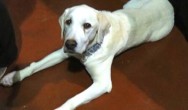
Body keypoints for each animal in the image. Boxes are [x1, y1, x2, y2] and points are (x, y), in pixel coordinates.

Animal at [0, 0, 174, 109]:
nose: (70, 44)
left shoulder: (102, 83)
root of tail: (170, 5)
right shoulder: (63, 53)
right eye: (68, 22)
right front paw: (13, 76)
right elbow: (34, 66)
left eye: (87, 25)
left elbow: (73, 99)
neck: (88, 51)